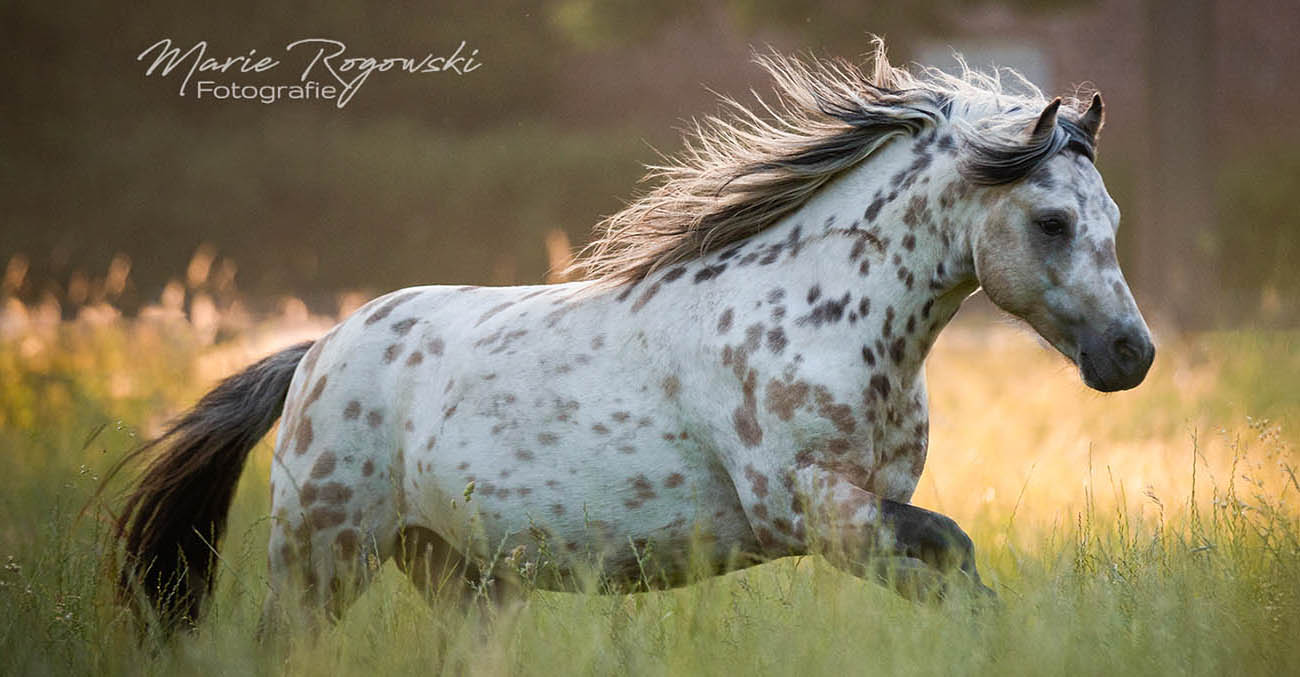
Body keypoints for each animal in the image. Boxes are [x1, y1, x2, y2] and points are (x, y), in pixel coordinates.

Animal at [114, 40, 1159, 634]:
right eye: (1052, 221)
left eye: (1110, 214)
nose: (1131, 355)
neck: (824, 316)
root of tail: (316, 351)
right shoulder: (809, 505)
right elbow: (956, 548)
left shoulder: (865, 518)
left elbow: (955, 580)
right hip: (323, 556)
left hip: (463, 580)